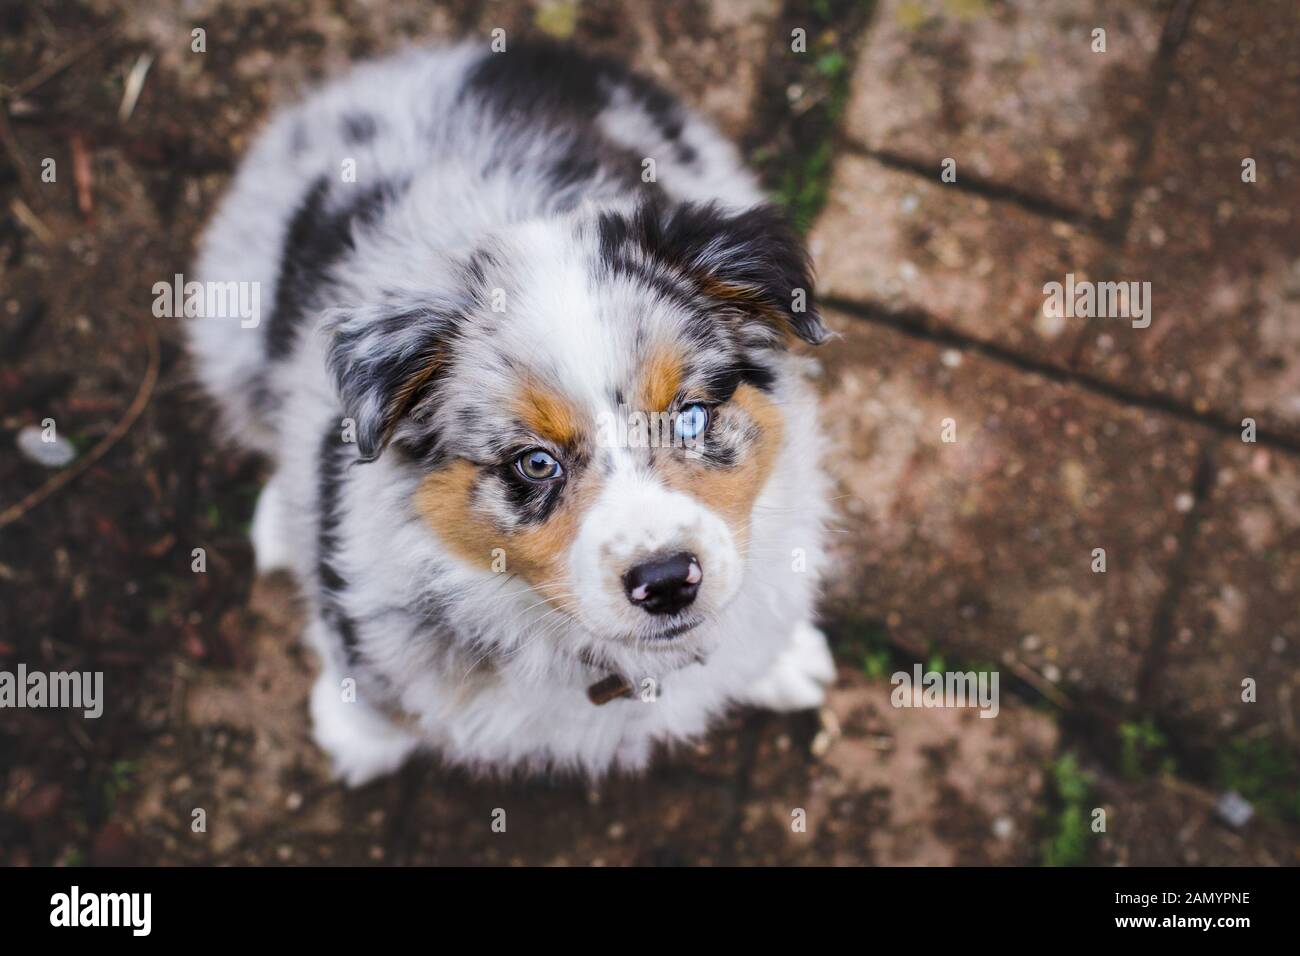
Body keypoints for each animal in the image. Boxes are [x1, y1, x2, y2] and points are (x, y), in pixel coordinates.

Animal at [185, 41, 832, 785]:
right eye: (535, 462)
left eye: (692, 416)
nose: (668, 581)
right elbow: (373, 680)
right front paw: (355, 736)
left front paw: (781, 659)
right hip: (232, 309)